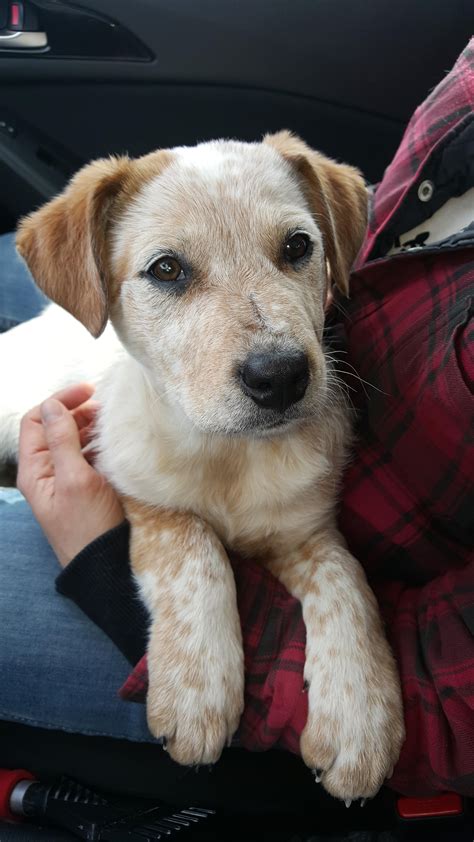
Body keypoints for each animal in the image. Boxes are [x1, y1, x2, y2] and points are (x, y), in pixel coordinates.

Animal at [0, 133, 404, 800]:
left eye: (298, 247)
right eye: (167, 269)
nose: (281, 377)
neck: (230, 456)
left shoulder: (306, 529)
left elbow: (350, 584)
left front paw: (359, 715)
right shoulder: (137, 487)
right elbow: (197, 548)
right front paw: (198, 690)